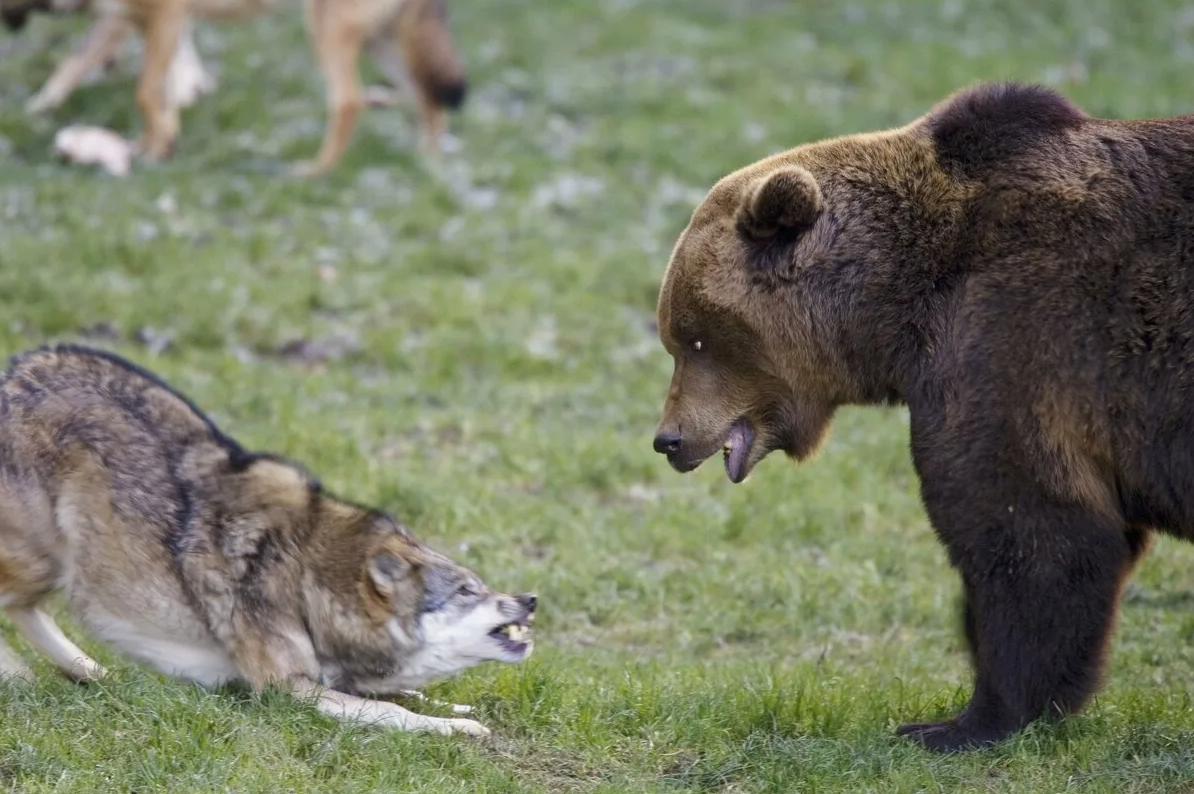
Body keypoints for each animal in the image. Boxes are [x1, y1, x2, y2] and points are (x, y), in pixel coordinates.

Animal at [0, 0, 465, 173]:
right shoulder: (136, 20)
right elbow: (147, 92)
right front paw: (155, 145)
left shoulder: (163, 17)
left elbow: (145, 91)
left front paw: (154, 149)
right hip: (380, 45)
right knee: (429, 102)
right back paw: (429, 165)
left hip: (327, 33)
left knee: (351, 101)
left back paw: (313, 171)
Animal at [0, 343, 537, 735]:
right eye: (467, 591)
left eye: (479, 585)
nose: (530, 599)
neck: (308, 584)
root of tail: (13, 370)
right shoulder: (284, 688)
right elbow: (396, 710)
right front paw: (458, 729)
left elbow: (410, 693)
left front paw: (459, 709)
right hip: (50, 560)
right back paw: (22, 677)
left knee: (29, 612)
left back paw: (92, 674)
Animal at [654, 81, 1194, 754]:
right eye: (677, 335)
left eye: (694, 337)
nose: (668, 438)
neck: (898, 304)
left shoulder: (1014, 342)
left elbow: (1030, 530)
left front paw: (961, 721)